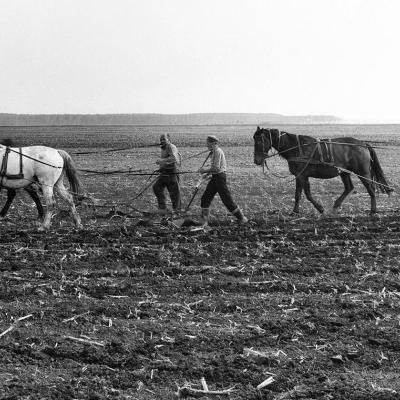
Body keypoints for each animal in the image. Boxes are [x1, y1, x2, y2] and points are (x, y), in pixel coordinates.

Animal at [253, 127, 392, 215]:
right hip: (344, 172)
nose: (256, 161)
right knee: (349, 188)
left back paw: (373, 210)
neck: (296, 147)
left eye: (259, 141)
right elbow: (304, 194)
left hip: (362, 173)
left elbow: (301, 194)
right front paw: (307, 210)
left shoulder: (301, 175)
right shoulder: (303, 176)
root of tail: (363, 144)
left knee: (371, 189)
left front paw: (307, 210)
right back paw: (336, 205)